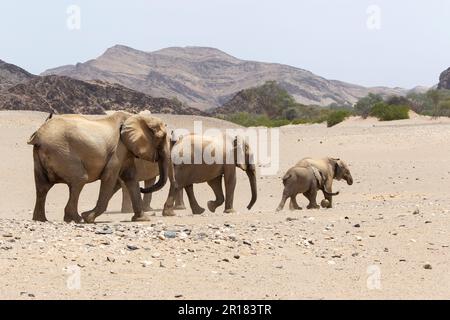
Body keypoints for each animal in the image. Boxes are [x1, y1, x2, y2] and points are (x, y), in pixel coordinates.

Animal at [27, 111, 173, 224]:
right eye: (161, 137)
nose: (143, 189)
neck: (134, 117)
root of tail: (38, 135)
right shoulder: (118, 149)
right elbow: (109, 177)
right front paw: (88, 218)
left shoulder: (126, 151)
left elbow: (130, 177)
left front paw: (142, 219)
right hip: (63, 153)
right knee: (79, 180)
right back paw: (76, 219)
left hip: (41, 156)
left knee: (42, 186)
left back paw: (41, 220)